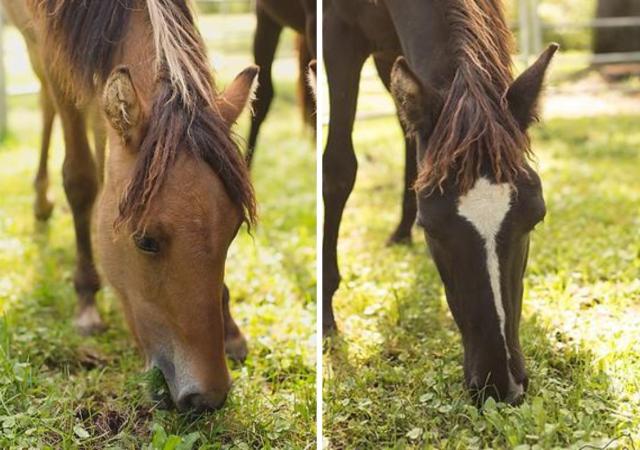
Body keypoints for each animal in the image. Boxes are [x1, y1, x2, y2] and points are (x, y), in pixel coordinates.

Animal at [6, 0, 259, 412]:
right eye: (145, 241)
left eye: (233, 231)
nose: (208, 396)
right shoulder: (51, 49)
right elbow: (80, 179)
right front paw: (86, 301)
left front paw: (231, 328)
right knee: (46, 102)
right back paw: (42, 202)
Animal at [323, 0, 557, 405]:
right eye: (431, 227)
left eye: (536, 217)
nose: (500, 383)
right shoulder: (335, 34)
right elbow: (338, 169)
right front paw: (325, 317)